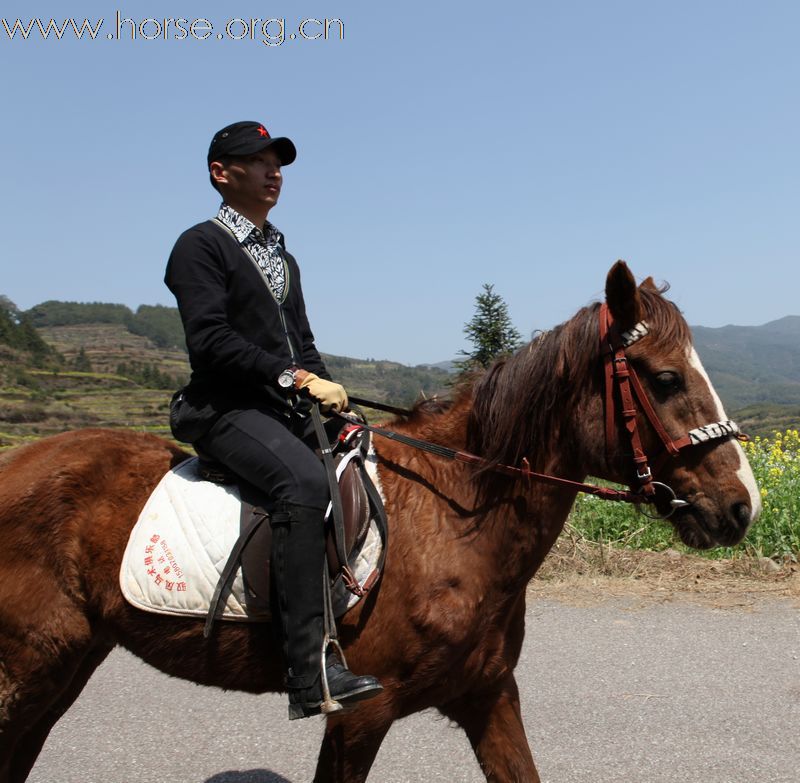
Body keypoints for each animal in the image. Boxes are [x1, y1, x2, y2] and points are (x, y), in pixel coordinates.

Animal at [0, 264, 764, 783]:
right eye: (664, 379)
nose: (741, 506)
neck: (456, 516)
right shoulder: (361, 716)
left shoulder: (489, 694)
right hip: (32, 665)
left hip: (66, 663)